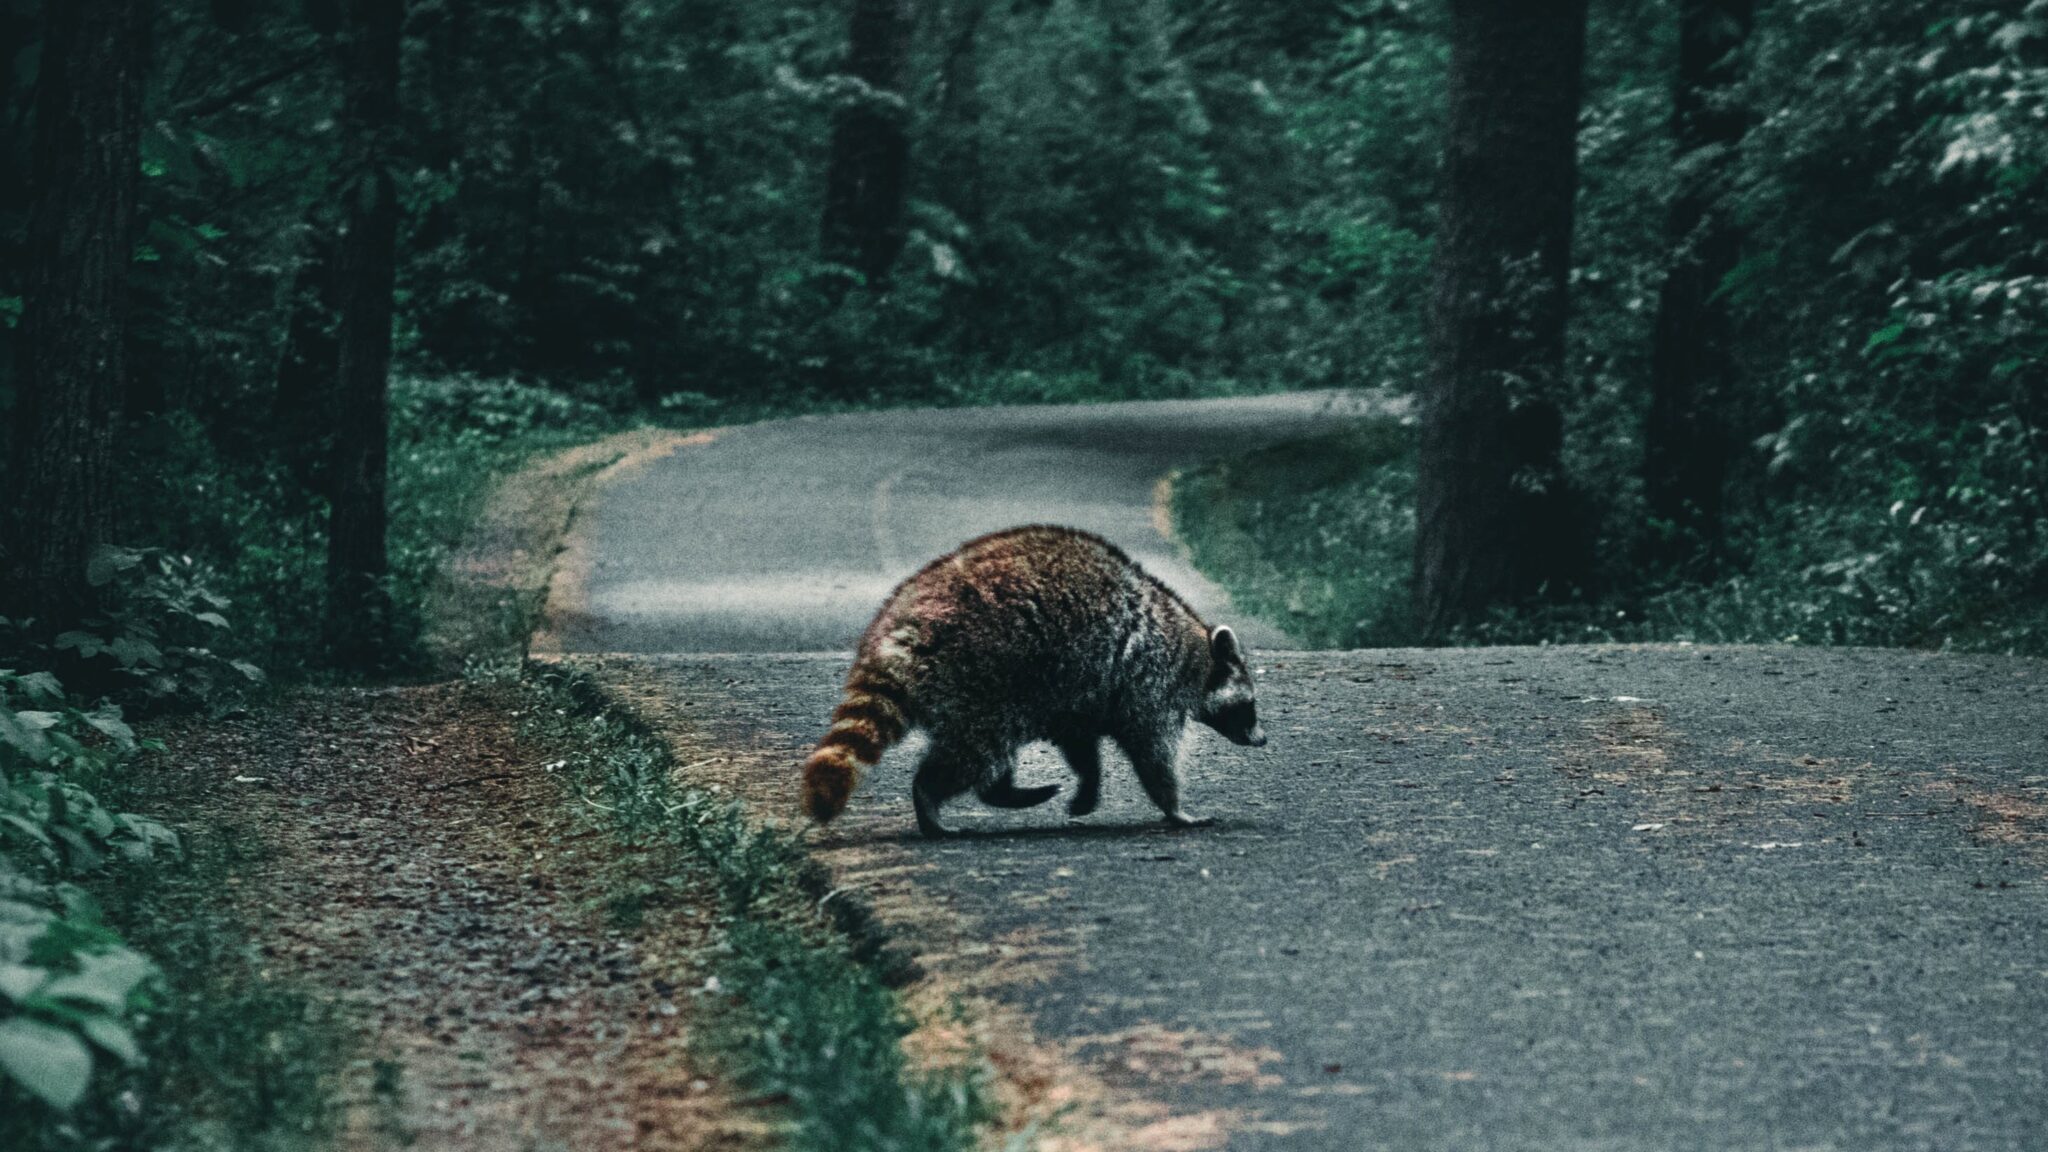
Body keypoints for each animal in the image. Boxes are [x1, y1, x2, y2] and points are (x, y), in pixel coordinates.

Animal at [798, 522, 1261, 832]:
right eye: (1250, 704)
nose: (1263, 739)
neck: (1198, 651)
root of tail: (900, 626)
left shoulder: (1084, 690)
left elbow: (1080, 741)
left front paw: (1089, 786)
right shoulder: (1152, 681)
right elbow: (1153, 752)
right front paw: (1174, 807)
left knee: (987, 753)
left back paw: (1000, 792)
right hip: (982, 674)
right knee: (976, 752)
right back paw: (929, 794)